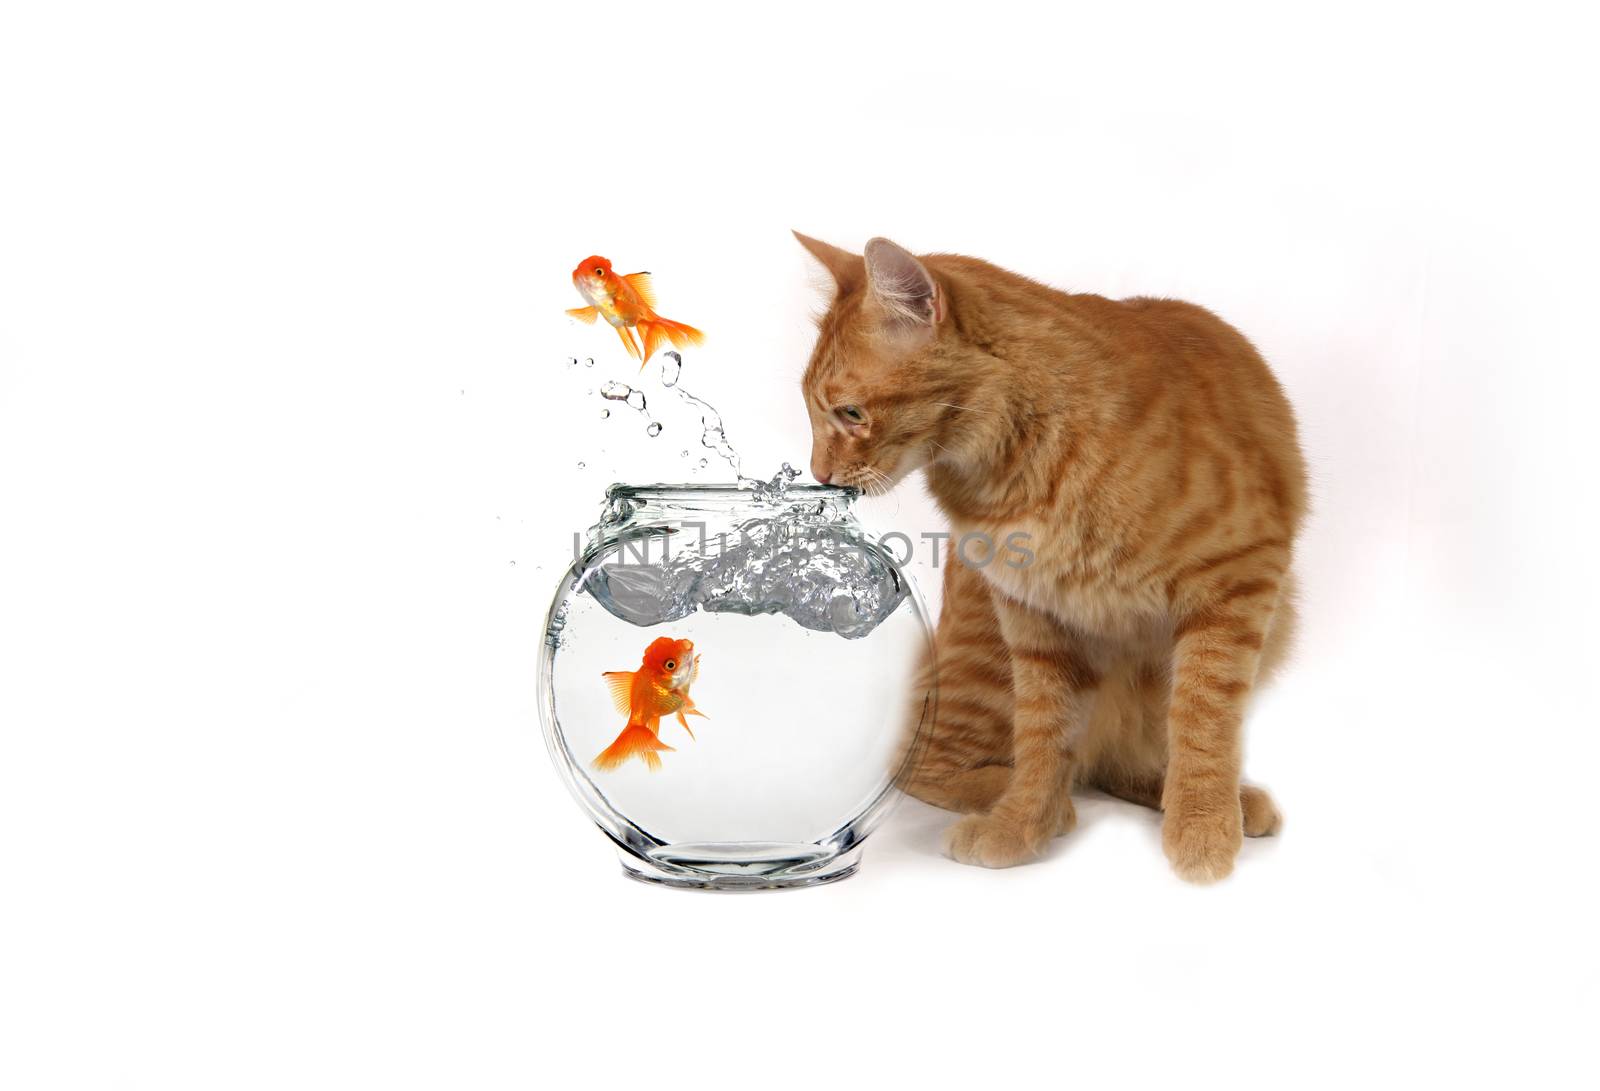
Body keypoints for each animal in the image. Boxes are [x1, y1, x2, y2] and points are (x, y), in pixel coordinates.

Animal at [793, 227, 1305, 876]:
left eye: (851, 412)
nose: (820, 474)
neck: (1023, 466)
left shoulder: (1237, 579)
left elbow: (1203, 718)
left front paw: (1203, 825)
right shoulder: (1034, 616)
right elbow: (1044, 738)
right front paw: (1021, 825)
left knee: (1122, 759)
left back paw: (1209, 798)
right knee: (925, 765)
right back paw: (1049, 803)